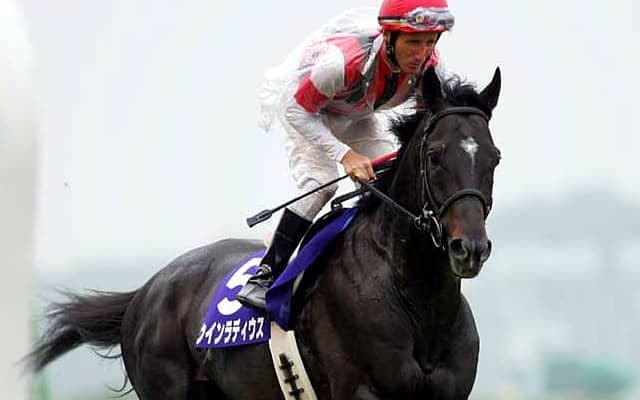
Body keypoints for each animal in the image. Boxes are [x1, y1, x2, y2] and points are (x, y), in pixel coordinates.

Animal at [28, 66, 501, 399]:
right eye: (436, 154)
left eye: (494, 156)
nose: (469, 249)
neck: (414, 295)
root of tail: (146, 291)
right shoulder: (361, 390)